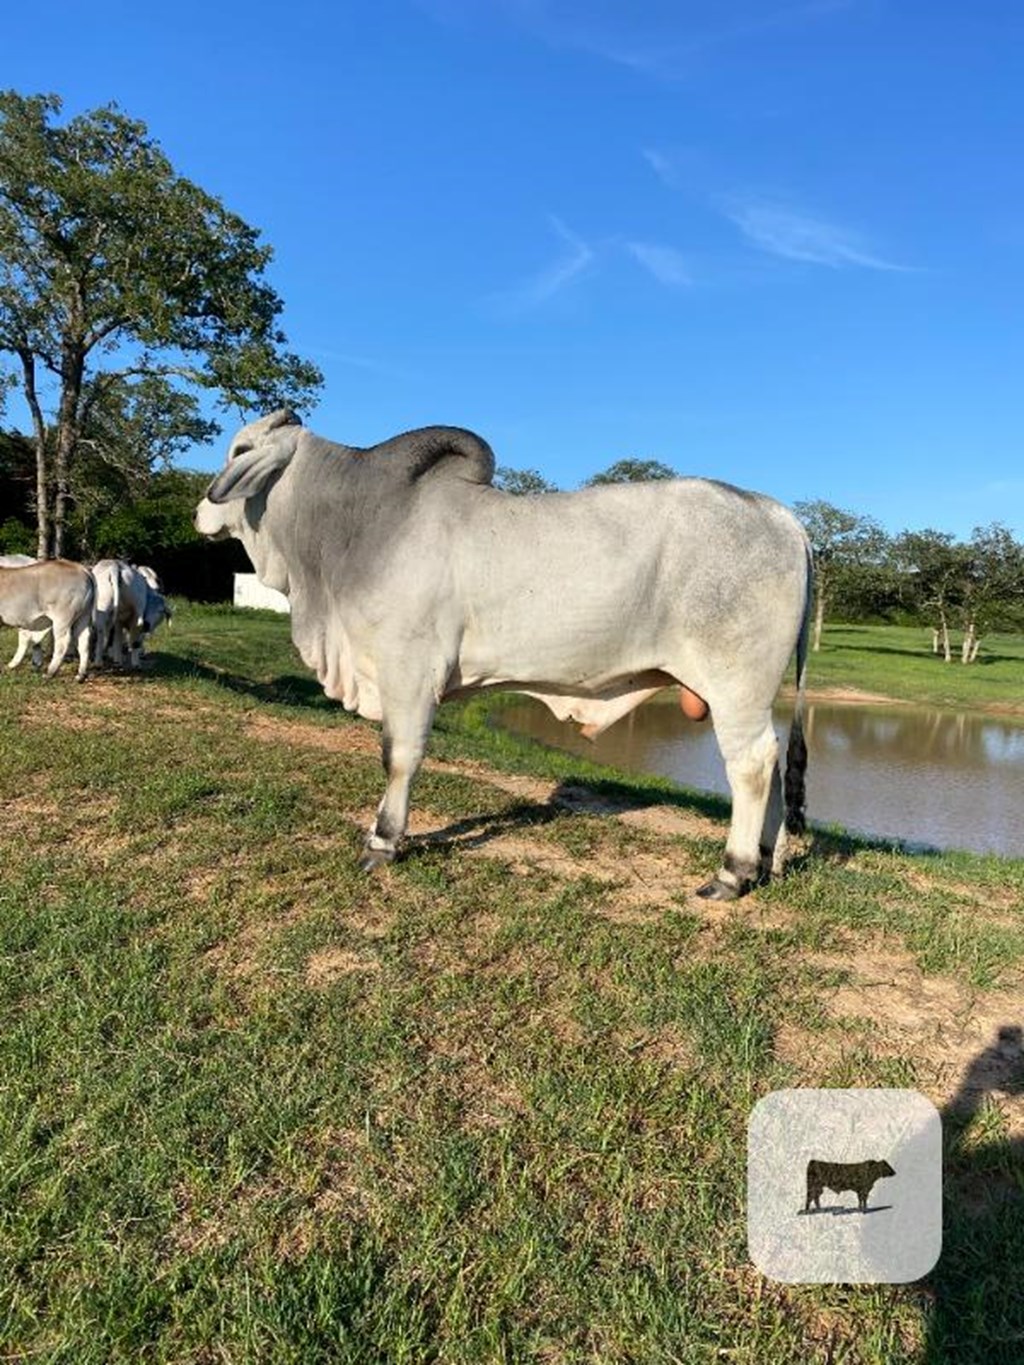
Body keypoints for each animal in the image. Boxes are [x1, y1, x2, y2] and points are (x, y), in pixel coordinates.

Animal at [195, 410, 813, 901]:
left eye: (239, 451)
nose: (201, 509)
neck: (358, 526)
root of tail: (781, 515)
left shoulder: (408, 672)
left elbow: (399, 756)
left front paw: (383, 841)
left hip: (735, 685)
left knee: (751, 763)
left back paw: (733, 872)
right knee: (772, 764)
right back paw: (765, 863)